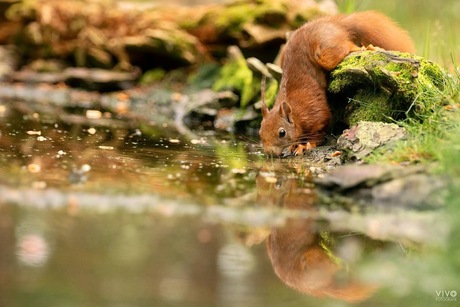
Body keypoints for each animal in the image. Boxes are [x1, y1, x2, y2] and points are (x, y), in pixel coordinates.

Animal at [260, 11, 416, 158]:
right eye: (260, 132)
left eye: (282, 133)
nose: (269, 153)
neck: (295, 113)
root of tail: (336, 23)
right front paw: (295, 145)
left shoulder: (315, 112)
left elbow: (319, 131)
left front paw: (306, 145)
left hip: (326, 52)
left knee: (346, 46)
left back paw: (364, 48)